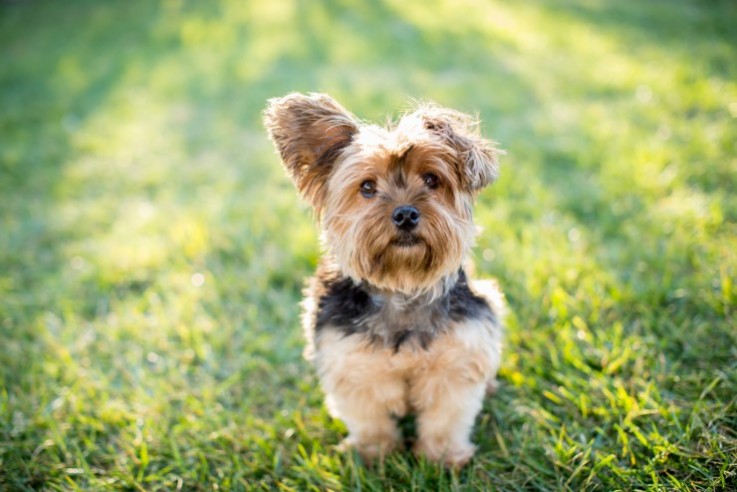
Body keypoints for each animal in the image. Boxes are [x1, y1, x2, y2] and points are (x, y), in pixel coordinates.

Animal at [262, 94, 504, 468]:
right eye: (367, 187)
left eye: (431, 180)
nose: (405, 214)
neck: (401, 285)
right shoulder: (351, 360)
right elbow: (369, 416)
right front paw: (373, 455)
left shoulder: (457, 357)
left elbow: (445, 416)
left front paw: (442, 458)